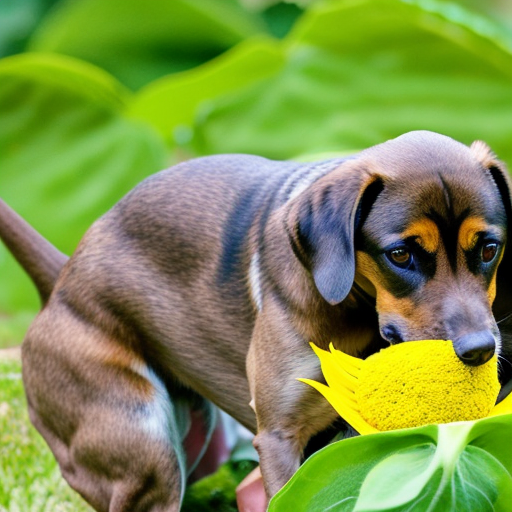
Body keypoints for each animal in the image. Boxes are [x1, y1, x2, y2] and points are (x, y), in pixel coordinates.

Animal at [1, 132, 512, 512]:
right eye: (401, 254)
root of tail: (62, 278)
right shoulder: (280, 438)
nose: (479, 350)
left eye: (489, 248)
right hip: (147, 452)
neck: (357, 318)